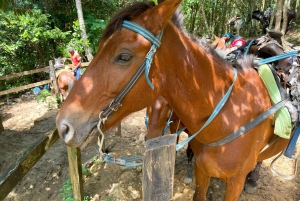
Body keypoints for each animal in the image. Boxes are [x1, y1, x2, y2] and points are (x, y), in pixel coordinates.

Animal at [56, 1, 296, 199]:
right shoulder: (202, 171)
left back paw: (253, 180)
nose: (62, 126)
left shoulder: (234, 183)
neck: (230, 116)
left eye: (123, 56)